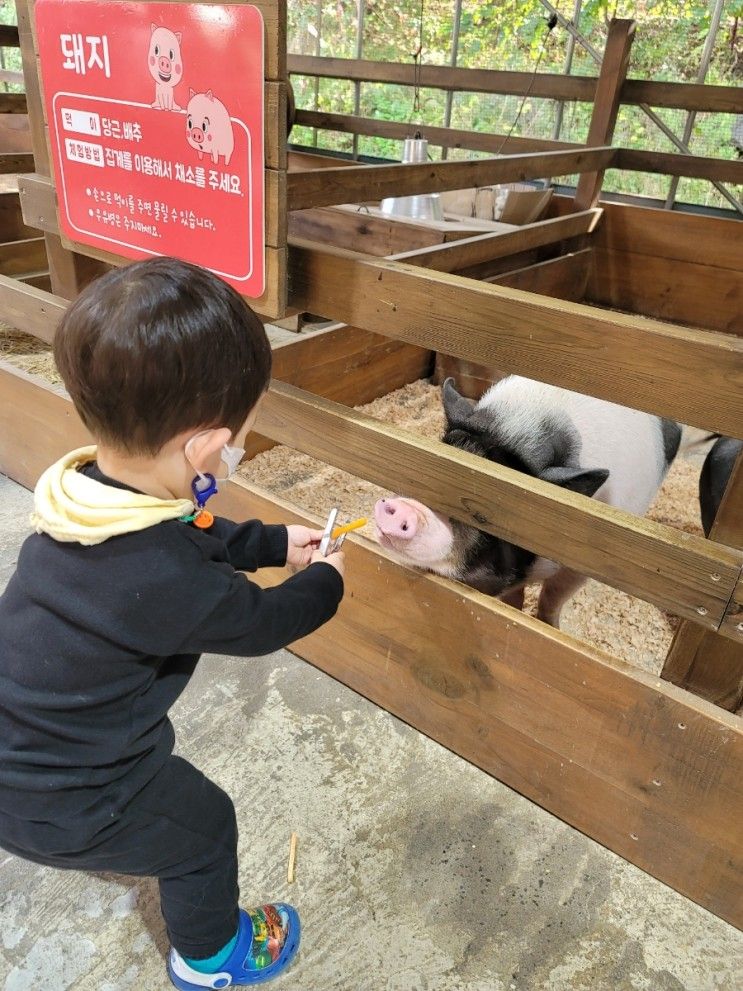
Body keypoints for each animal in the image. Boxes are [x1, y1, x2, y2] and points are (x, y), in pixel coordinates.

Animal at [374, 378, 684, 628]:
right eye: (428, 472)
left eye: (483, 515)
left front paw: (550, 628)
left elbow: (553, 597)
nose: (401, 509)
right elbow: (513, 598)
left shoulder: (582, 568)